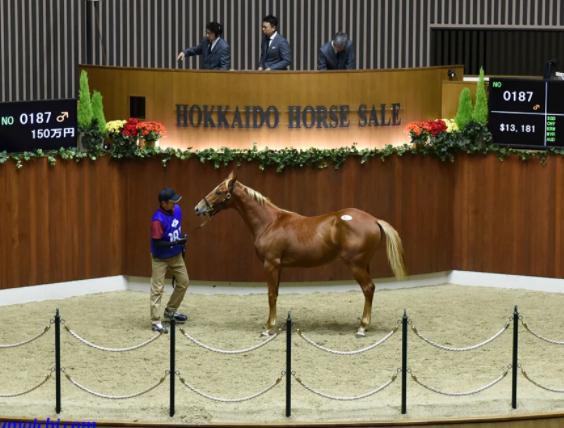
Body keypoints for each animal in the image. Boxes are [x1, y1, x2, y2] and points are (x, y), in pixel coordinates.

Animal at [195, 172, 406, 336]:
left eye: (219, 192)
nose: (198, 208)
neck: (269, 222)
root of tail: (374, 219)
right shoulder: (278, 266)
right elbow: (276, 293)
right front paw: (271, 324)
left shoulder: (270, 264)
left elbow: (270, 295)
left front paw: (268, 328)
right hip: (364, 264)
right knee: (369, 291)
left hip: (356, 265)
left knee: (368, 288)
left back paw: (362, 328)